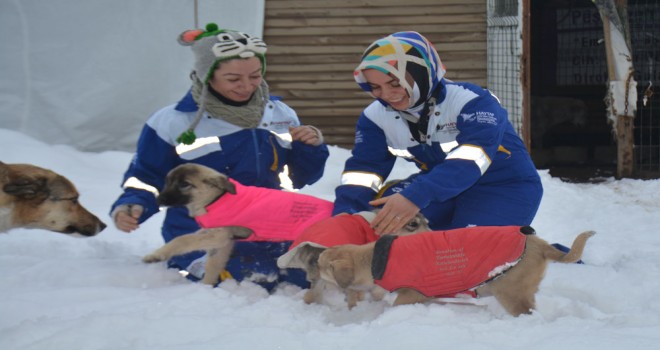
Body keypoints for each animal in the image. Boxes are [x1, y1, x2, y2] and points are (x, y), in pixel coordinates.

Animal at [318, 227, 596, 318]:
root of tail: (539, 244)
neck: (375, 258)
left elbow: (397, 304)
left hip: (510, 291)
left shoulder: (411, 294)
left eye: (321, 266)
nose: (313, 270)